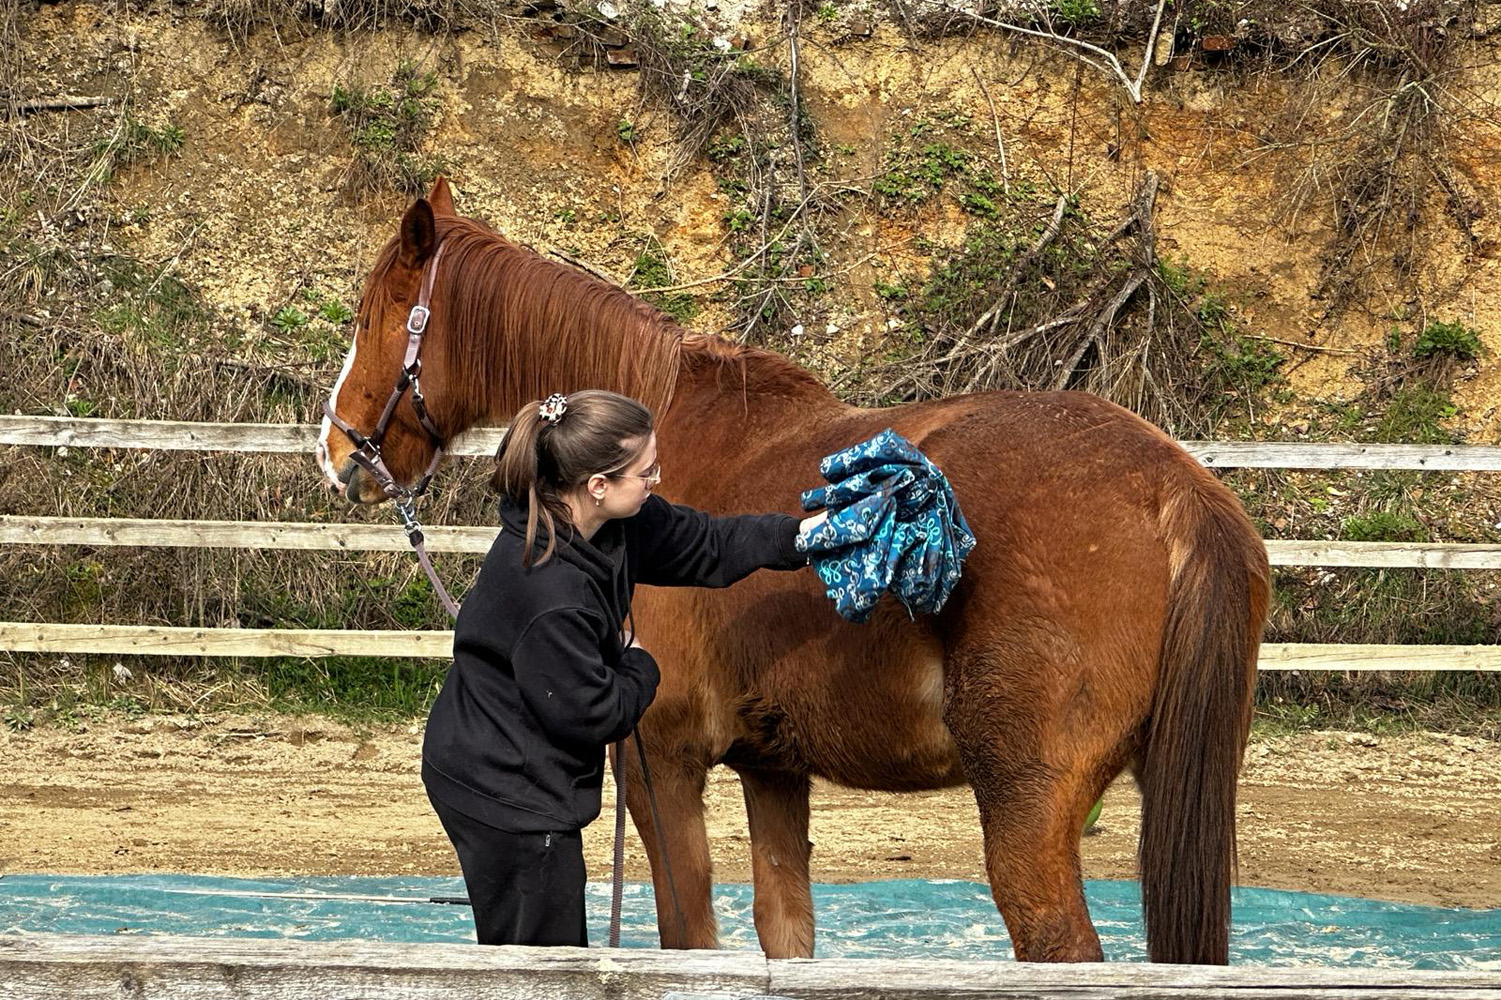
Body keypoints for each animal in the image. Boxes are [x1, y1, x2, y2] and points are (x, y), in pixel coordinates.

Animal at [316, 177, 1270, 964]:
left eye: (370, 318)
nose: (336, 451)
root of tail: (1172, 485)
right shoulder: (773, 770)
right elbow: (785, 933)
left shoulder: (663, 768)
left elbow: (689, 938)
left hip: (1026, 810)